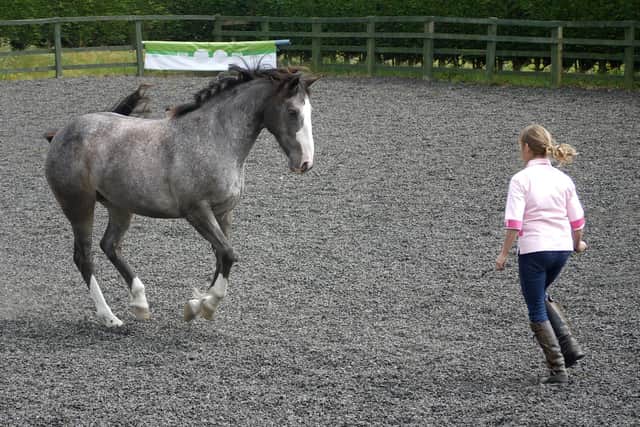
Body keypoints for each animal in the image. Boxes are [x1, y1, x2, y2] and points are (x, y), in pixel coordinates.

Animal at [45, 66, 318, 327]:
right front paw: (205, 306)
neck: (215, 139)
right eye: (292, 111)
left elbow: (221, 256)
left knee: (110, 245)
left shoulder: (223, 212)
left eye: (310, 111)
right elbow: (229, 254)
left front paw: (197, 306)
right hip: (79, 206)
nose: (305, 163)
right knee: (84, 256)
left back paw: (140, 304)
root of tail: (61, 133)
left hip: (119, 206)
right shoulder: (197, 211)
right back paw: (110, 318)